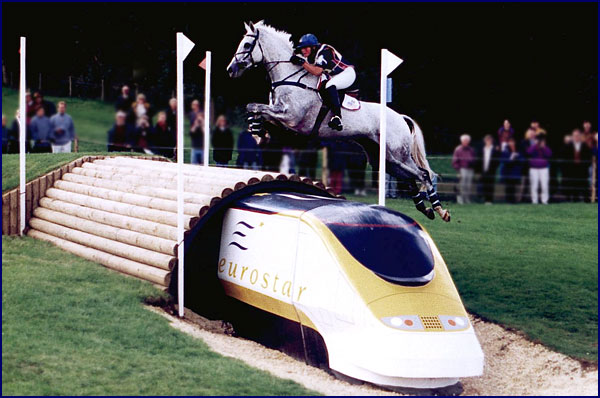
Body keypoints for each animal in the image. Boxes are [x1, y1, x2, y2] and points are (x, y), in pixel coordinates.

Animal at [226, 20, 450, 222]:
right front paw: (257, 131)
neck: (289, 78)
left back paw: (440, 210)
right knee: (410, 179)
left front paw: (257, 132)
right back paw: (425, 209)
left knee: (422, 175)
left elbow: (256, 107)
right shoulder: (281, 118)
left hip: (397, 155)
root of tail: (400, 117)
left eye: (247, 45)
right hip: (385, 159)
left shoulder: (290, 117)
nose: (230, 69)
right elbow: (254, 108)